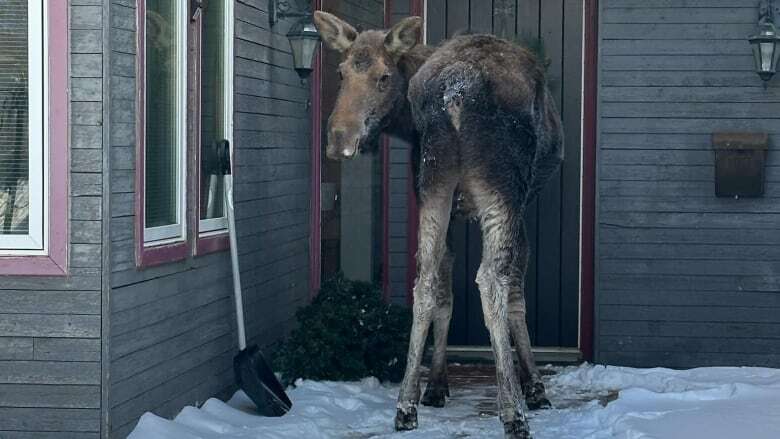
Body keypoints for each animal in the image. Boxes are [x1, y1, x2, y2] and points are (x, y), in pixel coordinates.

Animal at [314, 11, 564, 439]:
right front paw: (534, 387)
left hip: (435, 181)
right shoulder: (525, 199)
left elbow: (443, 290)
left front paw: (435, 384)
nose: (338, 139)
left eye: (383, 76)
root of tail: (455, 94)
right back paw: (513, 412)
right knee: (491, 280)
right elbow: (516, 293)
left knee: (426, 279)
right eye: (342, 72)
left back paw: (405, 406)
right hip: (501, 184)